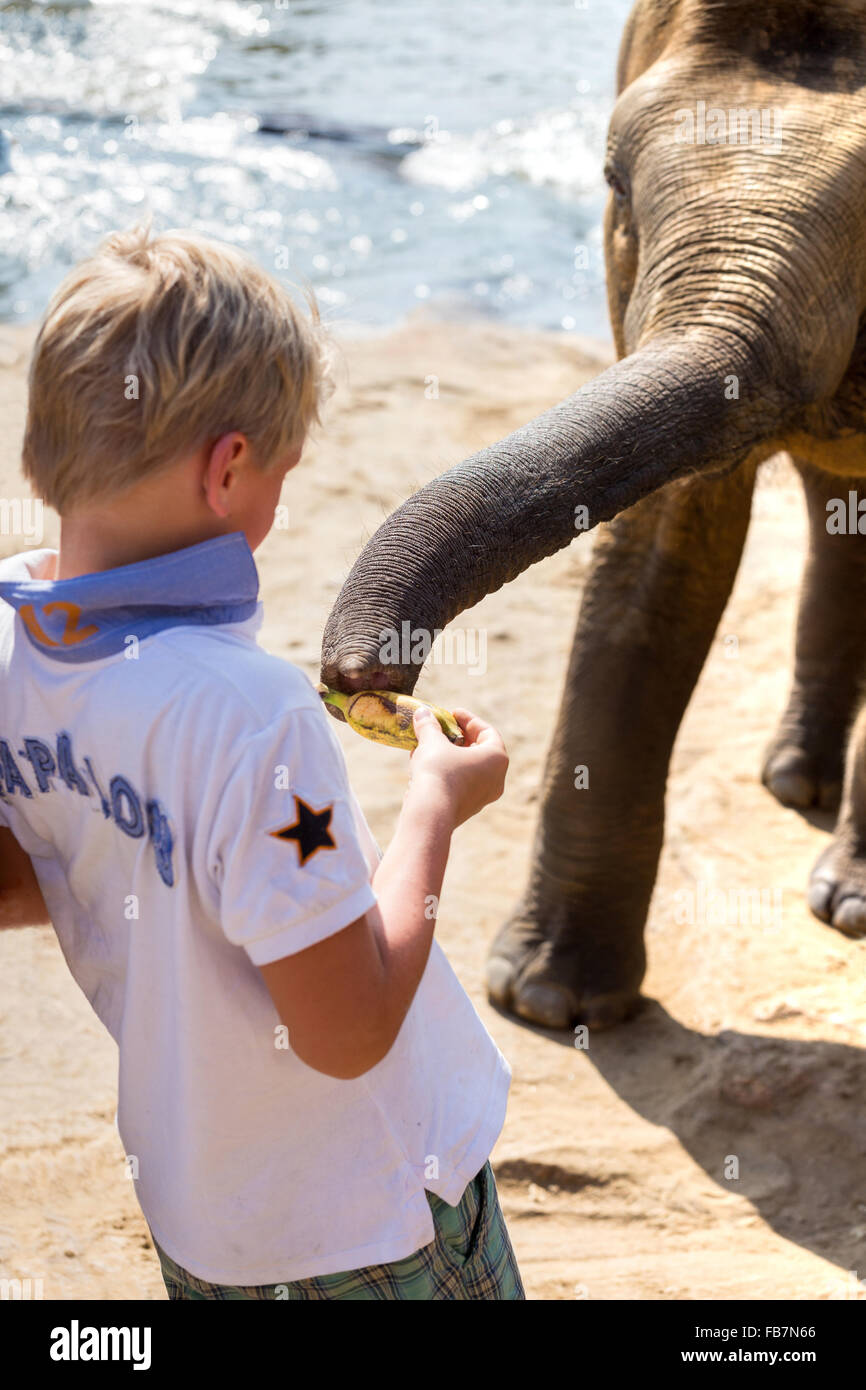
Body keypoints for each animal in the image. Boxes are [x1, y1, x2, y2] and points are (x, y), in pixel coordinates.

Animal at [322, 0, 866, 1034]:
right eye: (614, 180)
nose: (364, 676)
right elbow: (653, 550)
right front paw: (545, 1000)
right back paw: (793, 781)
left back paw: (842, 884)